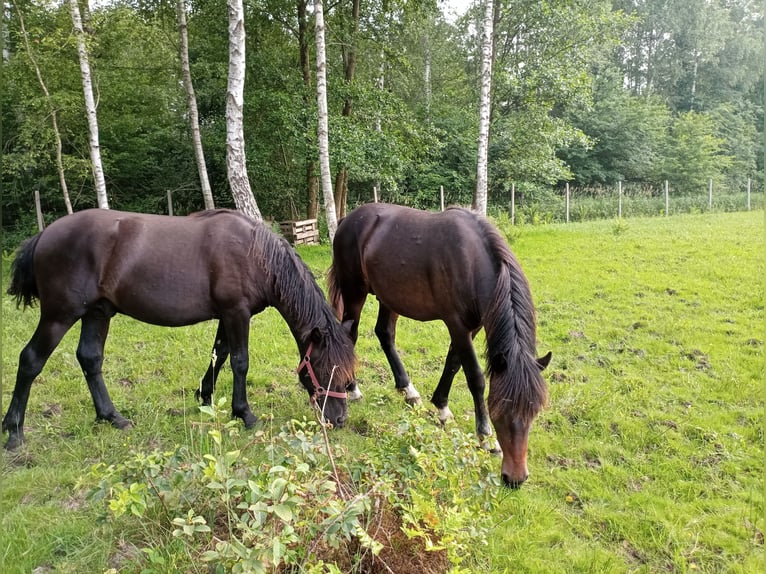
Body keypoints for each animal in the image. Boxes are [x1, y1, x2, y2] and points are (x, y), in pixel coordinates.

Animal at [2, 209, 356, 452]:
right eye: (325, 368)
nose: (339, 419)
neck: (255, 254)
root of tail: (43, 235)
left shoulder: (227, 315)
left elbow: (219, 354)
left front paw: (205, 396)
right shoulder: (236, 312)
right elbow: (239, 361)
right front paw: (245, 414)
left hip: (97, 313)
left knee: (90, 359)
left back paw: (112, 417)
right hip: (59, 316)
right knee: (31, 360)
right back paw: (14, 432)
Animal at [330, 205, 552, 488]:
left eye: (534, 411)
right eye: (500, 409)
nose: (516, 478)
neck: (472, 261)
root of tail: (347, 220)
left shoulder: (471, 326)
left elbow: (453, 364)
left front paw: (442, 407)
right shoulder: (456, 324)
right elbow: (475, 377)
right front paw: (486, 437)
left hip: (389, 297)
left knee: (385, 334)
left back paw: (409, 391)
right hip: (354, 294)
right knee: (351, 335)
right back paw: (353, 388)